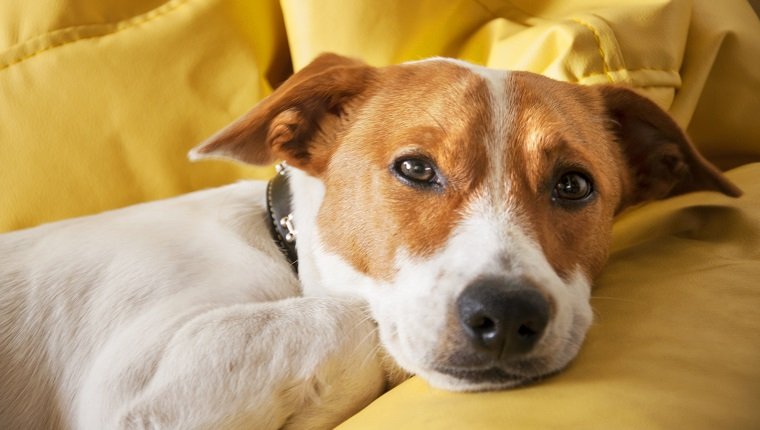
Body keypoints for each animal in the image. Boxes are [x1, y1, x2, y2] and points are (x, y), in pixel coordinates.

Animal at [0, 54, 736, 430]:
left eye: (575, 185)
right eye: (415, 168)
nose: (508, 316)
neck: (284, 253)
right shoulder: (133, 390)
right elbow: (351, 317)